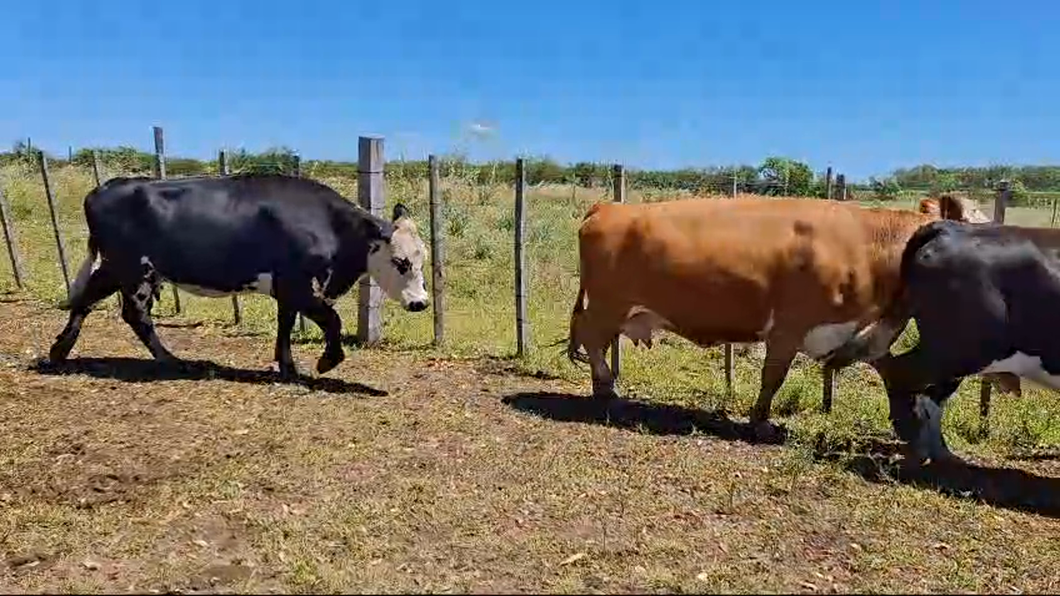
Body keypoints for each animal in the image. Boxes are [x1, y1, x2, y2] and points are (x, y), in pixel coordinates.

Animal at [48, 171, 430, 377]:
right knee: (134, 314)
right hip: (133, 271)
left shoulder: (286, 290)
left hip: (118, 268)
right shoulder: (299, 287)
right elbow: (332, 321)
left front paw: (287, 367)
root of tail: (104, 187)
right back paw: (172, 361)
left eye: (422, 259)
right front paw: (326, 362)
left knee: (86, 299)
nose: (421, 303)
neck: (332, 228)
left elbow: (285, 327)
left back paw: (60, 351)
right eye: (401, 261)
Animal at [568, 193, 987, 434]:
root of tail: (610, 207)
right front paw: (761, 420)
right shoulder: (789, 327)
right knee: (590, 337)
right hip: (608, 304)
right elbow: (774, 377)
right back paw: (606, 389)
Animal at [826, 218, 1060, 464]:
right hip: (959, 349)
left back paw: (940, 451)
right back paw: (918, 445)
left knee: (925, 391)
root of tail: (949, 227)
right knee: (902, 374)